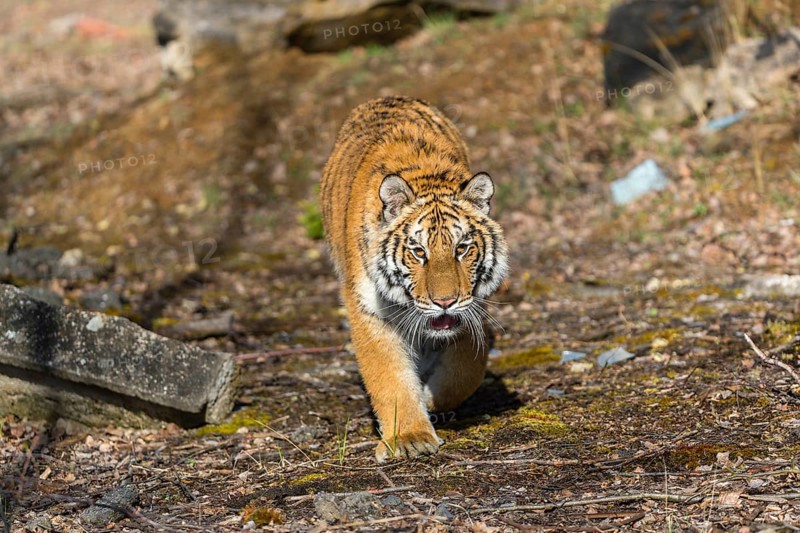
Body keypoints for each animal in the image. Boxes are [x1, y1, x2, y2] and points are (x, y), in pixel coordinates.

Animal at [320, 96, 508, 462]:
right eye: (418, 252)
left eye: (462, 248)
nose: (445, 301)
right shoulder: (369, 311)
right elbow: (389, 378)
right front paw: (409, 437)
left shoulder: (473, 306)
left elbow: (466, 369)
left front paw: (431, 398)